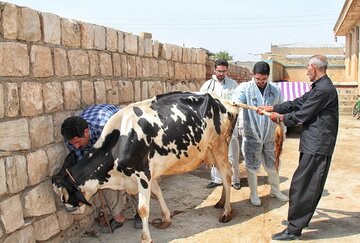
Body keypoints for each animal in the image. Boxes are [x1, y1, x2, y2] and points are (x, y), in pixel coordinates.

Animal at [52, 91, 239, 243]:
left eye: (64, 195)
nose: (70, 210)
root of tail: (224, 101)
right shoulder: (149, 173)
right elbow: (158, 193)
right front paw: (165, 219)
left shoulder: (142, 175)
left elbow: (143, 209)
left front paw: (146, 238)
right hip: (210, 152)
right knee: (224, 175)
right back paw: (221, 202)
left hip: (219, 147)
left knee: (226, 174)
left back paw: (226, 212)